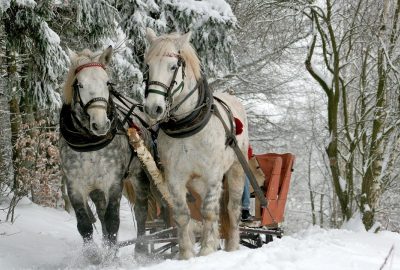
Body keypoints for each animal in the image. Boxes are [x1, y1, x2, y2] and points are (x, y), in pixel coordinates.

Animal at [141, 28, 247, 258]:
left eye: (173, 66)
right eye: (148, 66)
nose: (153, 108)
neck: (187, 126)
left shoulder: (213, 175)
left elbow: (208, 212)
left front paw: (206, 250)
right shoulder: (175, 178)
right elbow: (182, 215)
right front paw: (187, 254)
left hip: (235, 170)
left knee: (231, 210)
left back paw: (232, 247)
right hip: (197, 182)